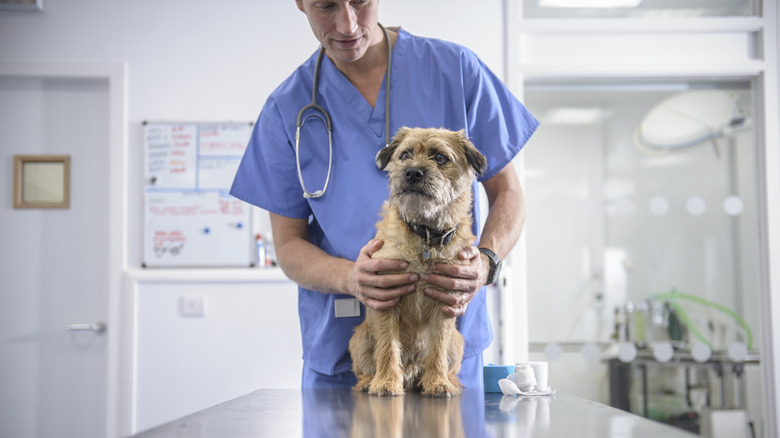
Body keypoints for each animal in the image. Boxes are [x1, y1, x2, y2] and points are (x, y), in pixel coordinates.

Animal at [348, 126, 484, 396]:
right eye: (405, 155)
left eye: (439, 157)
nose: (412, 172)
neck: (426, 236)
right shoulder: (386, 297)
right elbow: (387, 346)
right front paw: (386, 382)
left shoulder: (446, 300)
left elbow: (438, 347)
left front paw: (438, 382)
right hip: (360, 338)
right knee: (365, 367)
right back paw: (369, 381)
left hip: (458, 342)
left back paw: (448, 380)